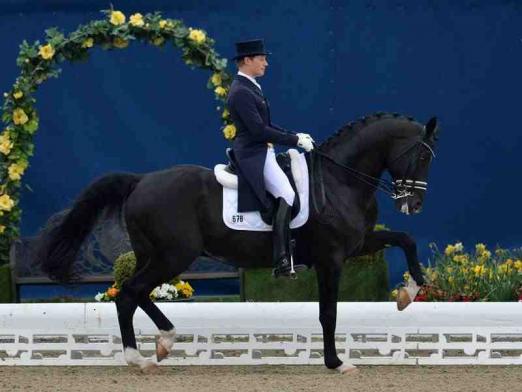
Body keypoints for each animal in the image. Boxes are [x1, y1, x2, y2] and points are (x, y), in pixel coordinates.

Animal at [36, 112, 436, 374]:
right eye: (422, 155)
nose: (414, 204)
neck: (340, 179)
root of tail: (141, 180)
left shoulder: (359, 244)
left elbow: (406, 239)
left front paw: (410, 291)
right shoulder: (332, 259)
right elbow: (329, 313)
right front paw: (336, 363)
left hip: (156, 254)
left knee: (134, 293)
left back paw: (164, 342)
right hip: (173, 255)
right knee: (131, 293)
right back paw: (139, 357)